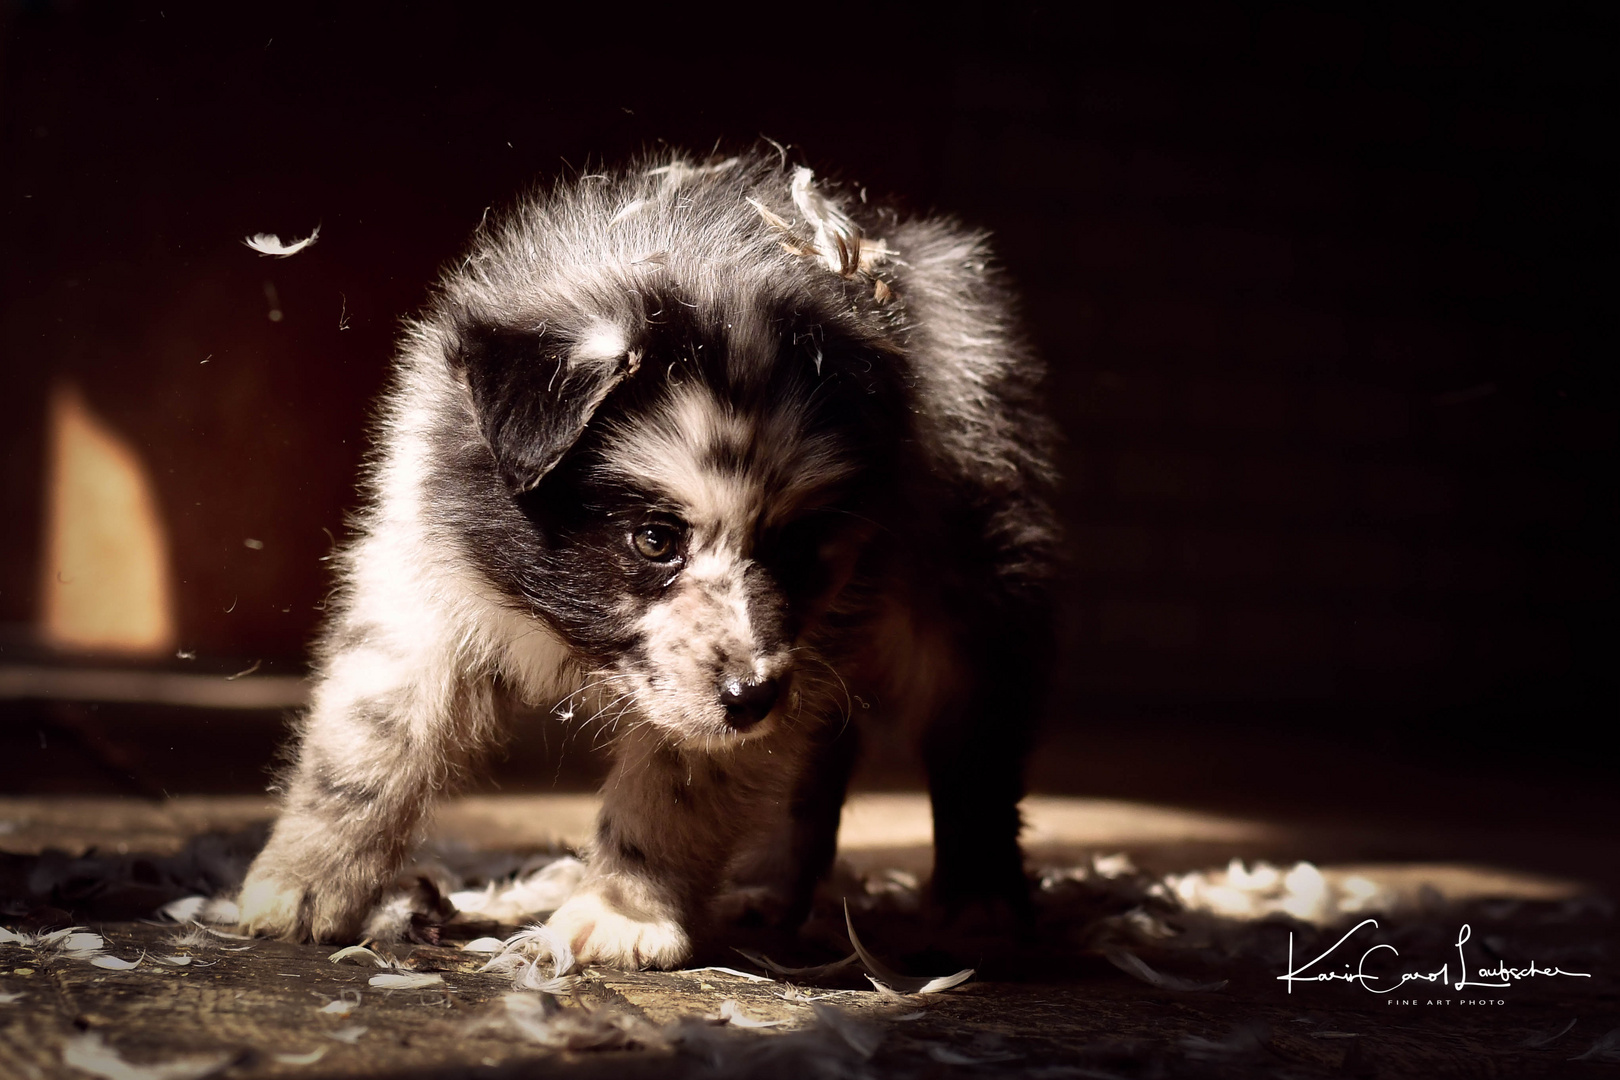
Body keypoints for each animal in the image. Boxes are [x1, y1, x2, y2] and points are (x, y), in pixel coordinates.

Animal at [234, 148, 1056, 965]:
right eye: (655, 539)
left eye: (795, 547)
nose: (752, 697)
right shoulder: (425, 581)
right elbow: (368, 742)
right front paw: (303, 881)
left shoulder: (748, 668)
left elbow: (678, 786)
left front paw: (622, 912)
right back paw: (766, 886)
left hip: (965, 591)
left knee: (970, 737)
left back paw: (980, 903)